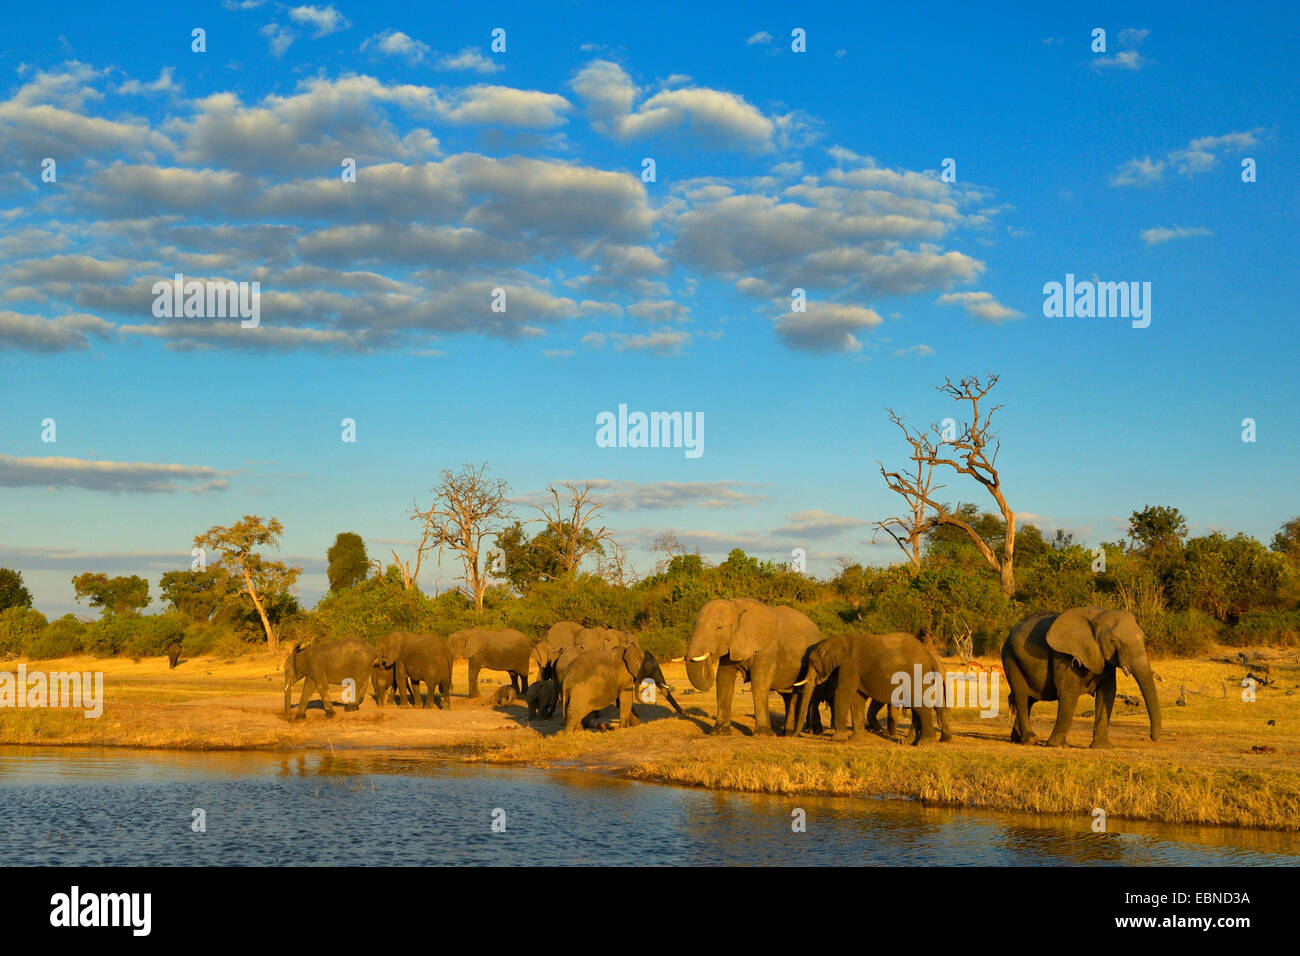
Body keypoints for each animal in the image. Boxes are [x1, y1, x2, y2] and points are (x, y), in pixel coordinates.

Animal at [686, 598, 816, 738]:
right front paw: (719, 732)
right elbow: (723, 680)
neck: (737, 606)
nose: (710, 655)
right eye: (694, 624)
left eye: (719, 628)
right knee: (789, 697)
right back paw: (788, 734)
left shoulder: (767, 649)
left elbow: (759, 683)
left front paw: (763, 735)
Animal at [785, 634, 951, 749]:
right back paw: (913, 742)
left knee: (920, 706)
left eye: (813, 664)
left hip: (917, 676)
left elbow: (843, 693)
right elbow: (857, 699)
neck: (838, 640)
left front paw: (836, 739)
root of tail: (931, 659)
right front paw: (855, 740)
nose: (793, 736)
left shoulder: (849, 666)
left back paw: (925, 744)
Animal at [998, 608, 1164, 749]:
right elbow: (1068, 693)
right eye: (1113, 641)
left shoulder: (1103, 660)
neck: (1099, 615)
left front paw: (1102, 747)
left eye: (1143, 638)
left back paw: (1016, 739)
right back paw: (1030, 739)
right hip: (1010, 657)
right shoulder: (1064, 656)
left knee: (1029, 700)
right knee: (1021, 695)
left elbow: (1107, 693)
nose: (1151, 737)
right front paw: (1057, 745)